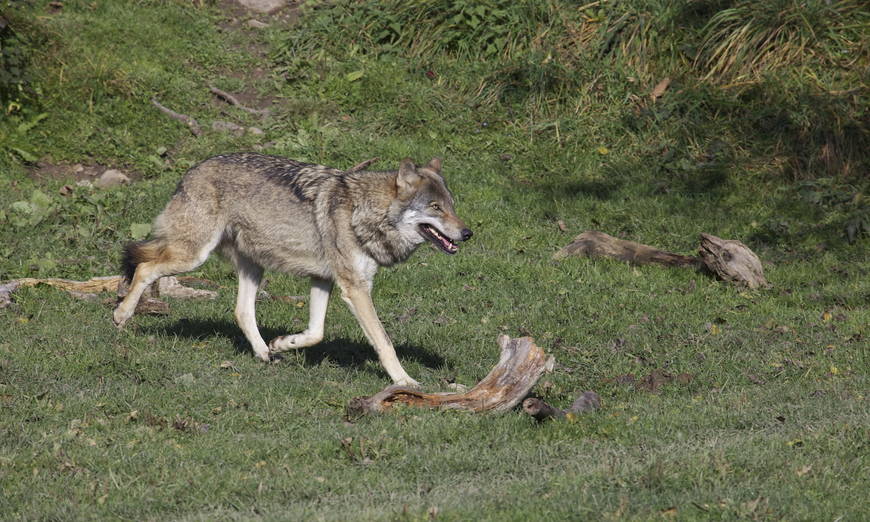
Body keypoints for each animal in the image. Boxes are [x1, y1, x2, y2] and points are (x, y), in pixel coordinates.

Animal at [114, 152, 476, 384]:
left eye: (452, 206)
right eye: (435, 207)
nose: (467, 233)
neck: (362, 212)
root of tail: (191, 171)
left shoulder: (323, 280)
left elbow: (316, 333)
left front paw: (283, 343)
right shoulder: (356, 288)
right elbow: (384, 343)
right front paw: (405, 382)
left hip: (252, 267)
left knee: (241, 311)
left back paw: (265, 354)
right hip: (192, 256)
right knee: (144, 267)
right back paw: (121, 315)